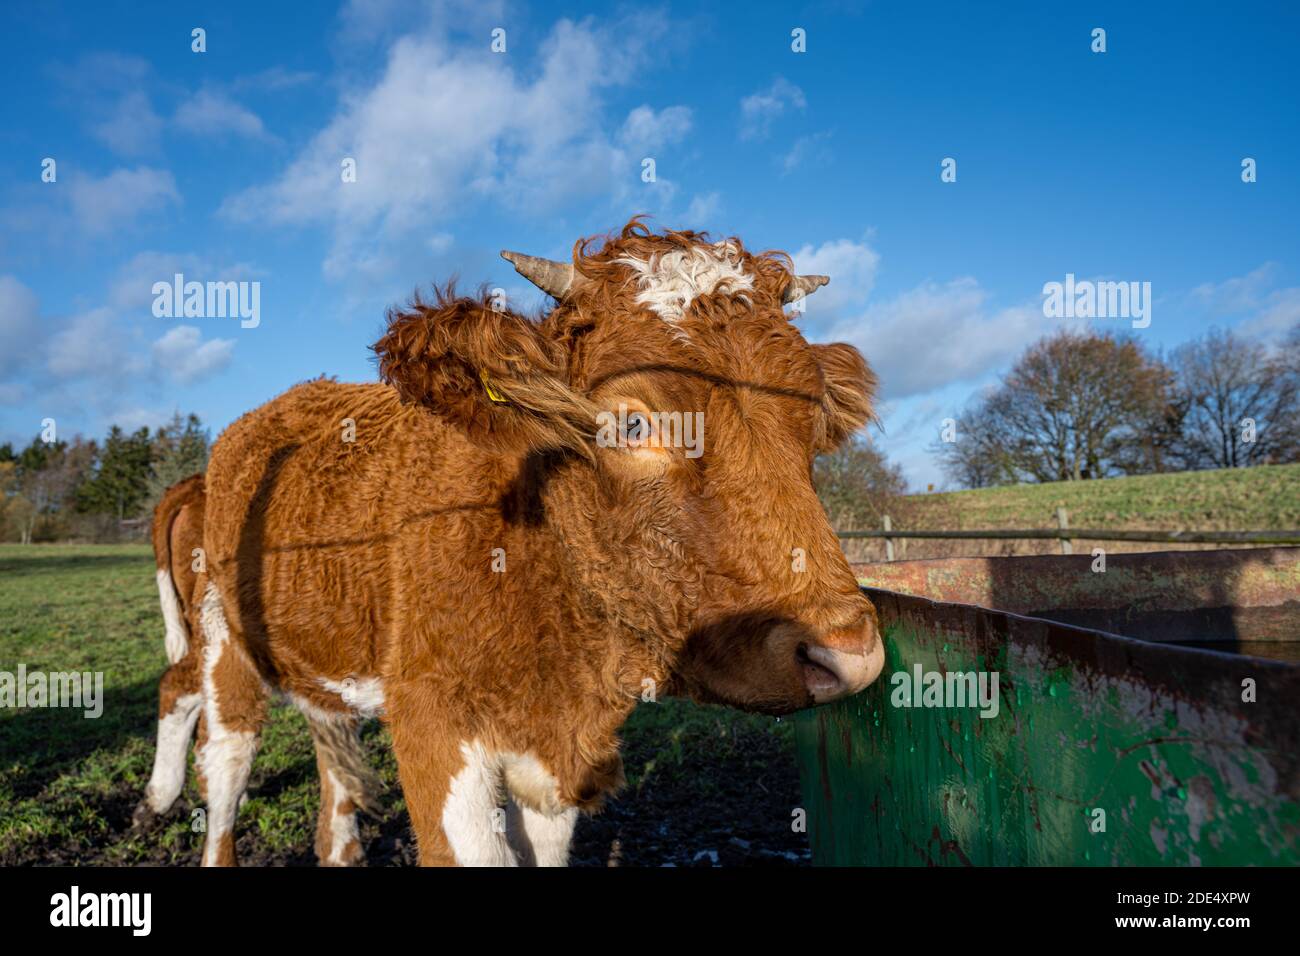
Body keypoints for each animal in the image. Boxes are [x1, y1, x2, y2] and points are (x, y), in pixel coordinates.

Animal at [180, 222, 883, 868]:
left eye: (813, 416)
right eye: (631, 423)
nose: (847, 654)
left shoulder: (553, 763)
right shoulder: (433, 725)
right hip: (220, 640)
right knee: (224, 769)